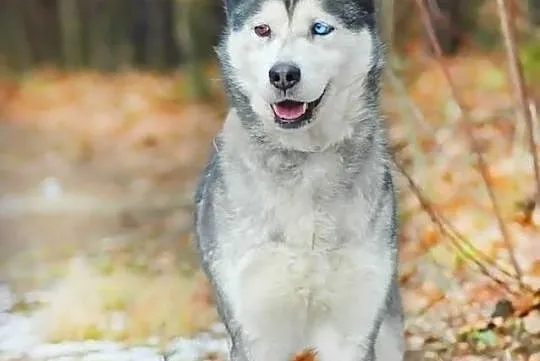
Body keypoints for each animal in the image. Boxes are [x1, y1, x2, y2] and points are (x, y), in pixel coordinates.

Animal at [195, 0, 404, 360]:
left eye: (320, 28)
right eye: (262, 29)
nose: (282, 74)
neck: (305, 158)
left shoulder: (353, 331)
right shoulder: (256, 333)